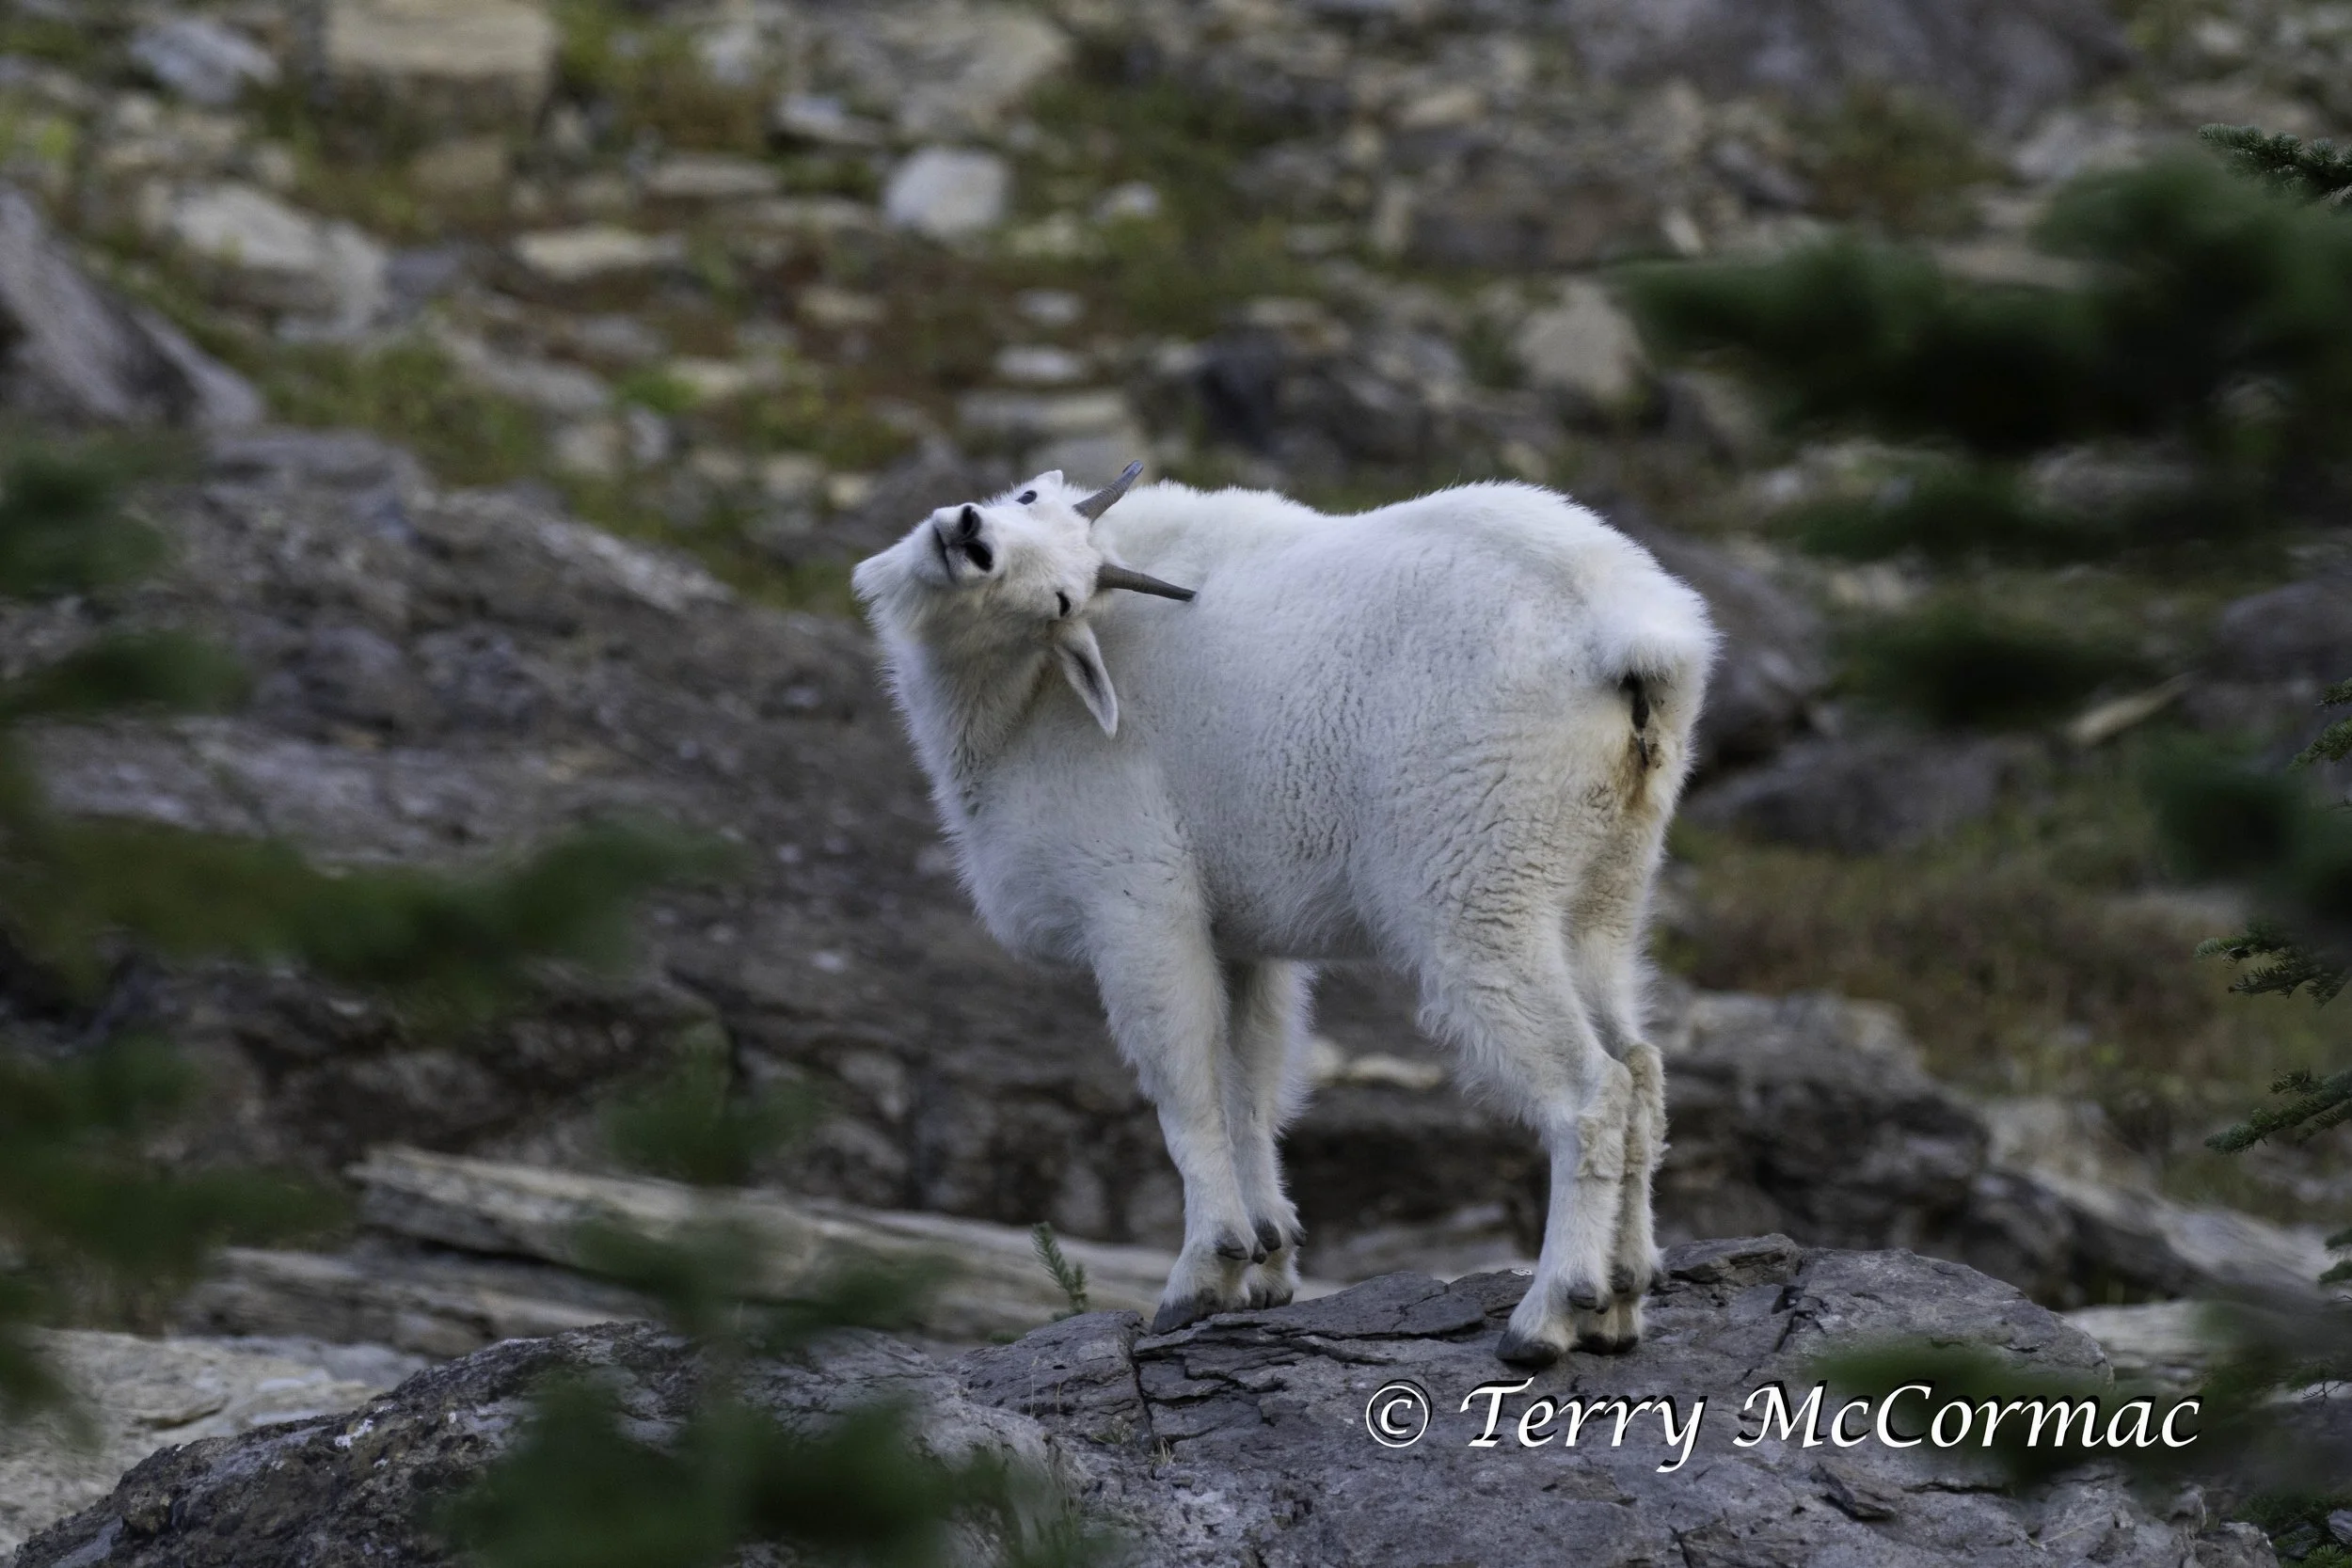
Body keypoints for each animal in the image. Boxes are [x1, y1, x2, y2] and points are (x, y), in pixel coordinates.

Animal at [852, 463, 1714, 1363]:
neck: (1013, 698)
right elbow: (1251, 1083)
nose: (969, 534)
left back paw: (1550, 1312)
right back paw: (1620, 1302)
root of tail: (1629, 636)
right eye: (1025, 500)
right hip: (1603, 891)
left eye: (1063, 598)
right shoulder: (1241, 935)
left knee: (1593, 1092)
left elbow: (1187, 1087)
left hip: (1480, 884)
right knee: (1643, 1074)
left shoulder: (1136, 899)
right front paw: (1267, 1260)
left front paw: (1206, 1272)